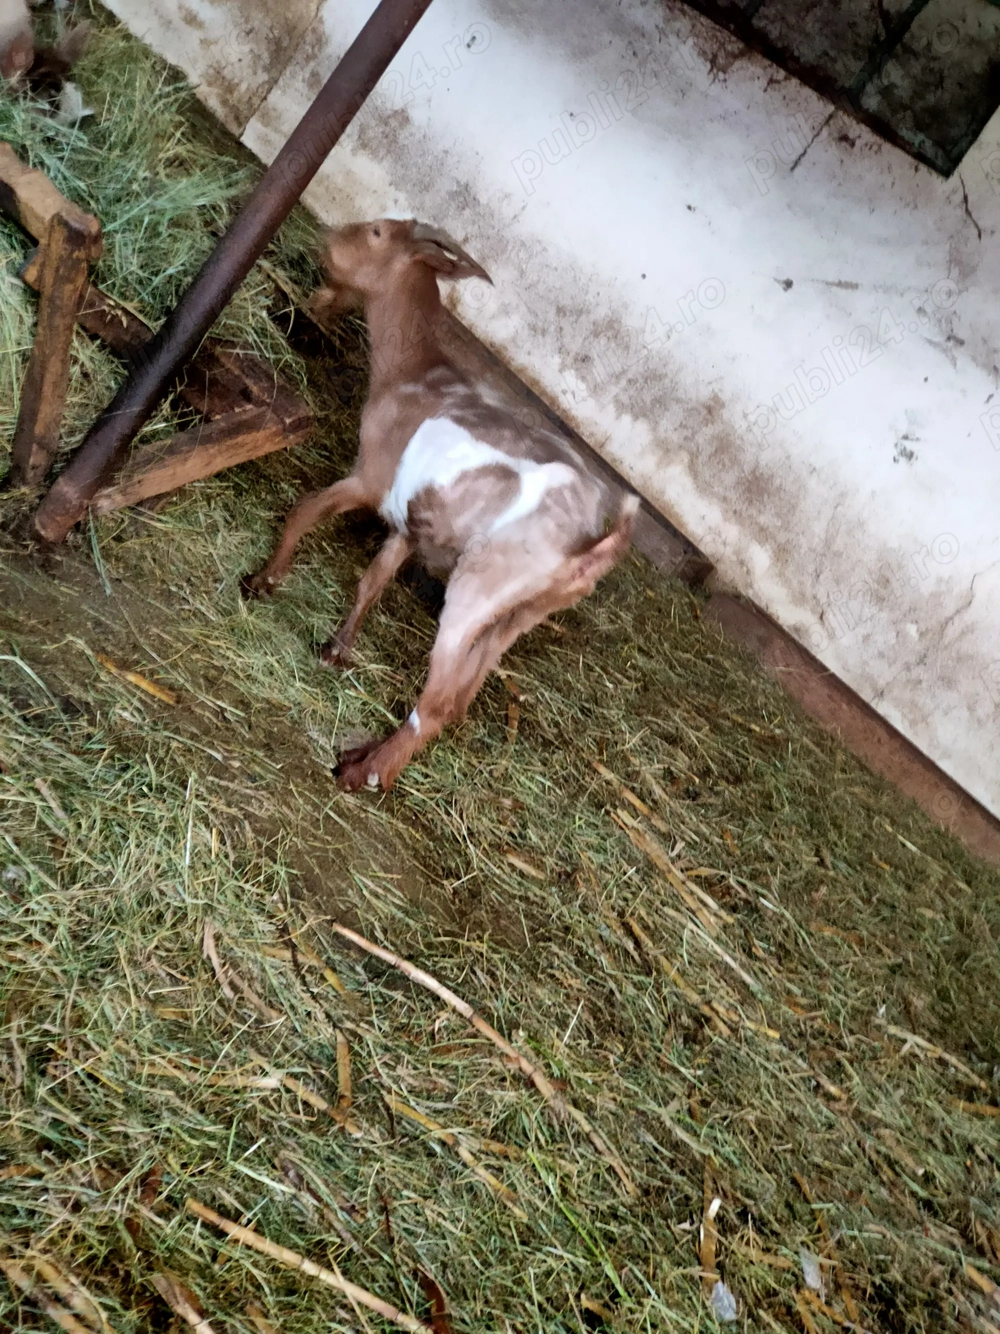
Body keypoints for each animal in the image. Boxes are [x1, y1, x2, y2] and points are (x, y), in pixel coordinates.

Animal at [244, 219, 638, 793]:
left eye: (378, 231)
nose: (327, 239)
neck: (415, 370)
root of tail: (592, 542)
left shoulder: (372, 477)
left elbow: (306, 511)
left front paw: (263, 581)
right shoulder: (410, 521)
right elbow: (374, 578)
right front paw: (337, 648)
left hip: (476, 592)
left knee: (439, 702)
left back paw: (364, 774)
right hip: (520, 615)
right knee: (462, 697)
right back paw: (365, 754)